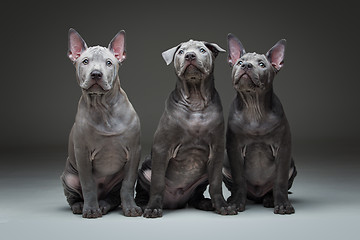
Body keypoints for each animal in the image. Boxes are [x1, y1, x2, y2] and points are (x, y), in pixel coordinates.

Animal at [61, 29, 141, 218]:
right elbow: (88, 184)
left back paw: (104, 204)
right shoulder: (82, 154)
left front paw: (131, 208)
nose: (96, 74)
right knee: (73, 196)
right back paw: (80, 205)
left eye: (109, 63)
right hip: (68, 176)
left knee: (114, 196)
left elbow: (128, 184)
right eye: (85, 61)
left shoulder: (134, 152)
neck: (103, 108)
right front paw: (90, 209)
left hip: (116, 179)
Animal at [135, 39, 236, 218]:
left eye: (202, 50)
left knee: (196, 195)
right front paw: (153, 208)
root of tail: (174, 202)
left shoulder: (217, 150)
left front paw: (222, 206)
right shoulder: (162, 148)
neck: (195, 98)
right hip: (145, 170)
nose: (190, 55)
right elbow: (158, 182)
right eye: (181, 52)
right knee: (144, 189)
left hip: (203, 176)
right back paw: (143, 204)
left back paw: (205, 203)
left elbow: (216, 182)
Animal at [224, 33, 296, 214]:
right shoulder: (234, 149)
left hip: (292, 166)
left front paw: (283, 204)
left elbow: (280, 181)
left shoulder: (283, 149)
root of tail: (257, 195)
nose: (246, 66)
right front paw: (237, 203)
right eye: (239, 62)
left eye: (262, 64)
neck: (253, 106)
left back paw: (270, 199)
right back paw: (232, 198)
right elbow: (239, 179)